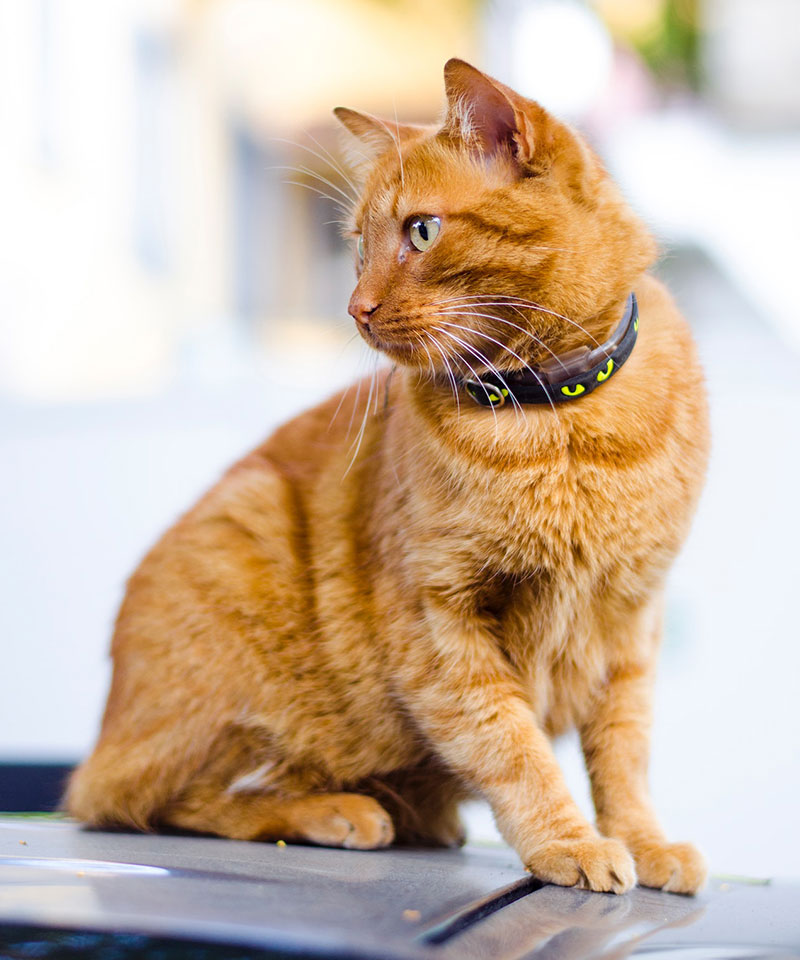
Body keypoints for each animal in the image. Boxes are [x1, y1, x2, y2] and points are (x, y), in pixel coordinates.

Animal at [67, 60, 708, 896]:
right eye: (356, 244)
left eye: (421, 231)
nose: (355, 307)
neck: (556, 422)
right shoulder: (440, 623)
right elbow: (512, 746)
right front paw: (569, 842)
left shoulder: (631, 623)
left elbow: (624, 757)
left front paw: (644, 840)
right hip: (242, 546)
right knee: (156, 800)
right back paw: (338, 812)